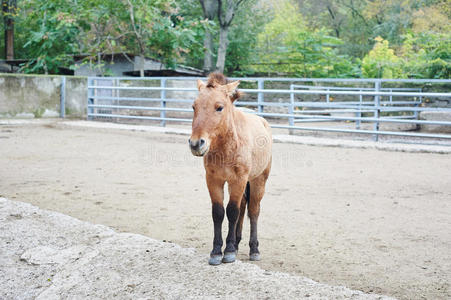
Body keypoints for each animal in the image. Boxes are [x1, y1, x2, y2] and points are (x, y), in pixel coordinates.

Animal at [190, 73, 274, 264]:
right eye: (194, 106)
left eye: (219, 107)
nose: (196, 144)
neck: (227, 147)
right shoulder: (214, 180)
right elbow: (219, 212)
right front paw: (216, 252)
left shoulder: (239, 180)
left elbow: (232, 211)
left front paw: (227, 252)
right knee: (243, 207)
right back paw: (236, 243)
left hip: (258, 180)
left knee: (253, 210)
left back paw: (253, 249)